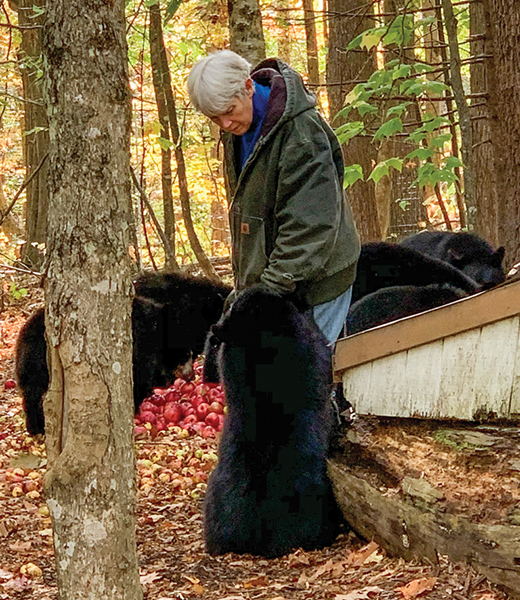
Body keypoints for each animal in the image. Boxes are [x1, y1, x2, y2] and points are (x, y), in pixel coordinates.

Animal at [16, 274, 232, 436]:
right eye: (185, 356)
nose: (191, 376)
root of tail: (23, 336)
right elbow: (141, 375)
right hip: (39, 363)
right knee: (35, 393)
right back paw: (37, 426)